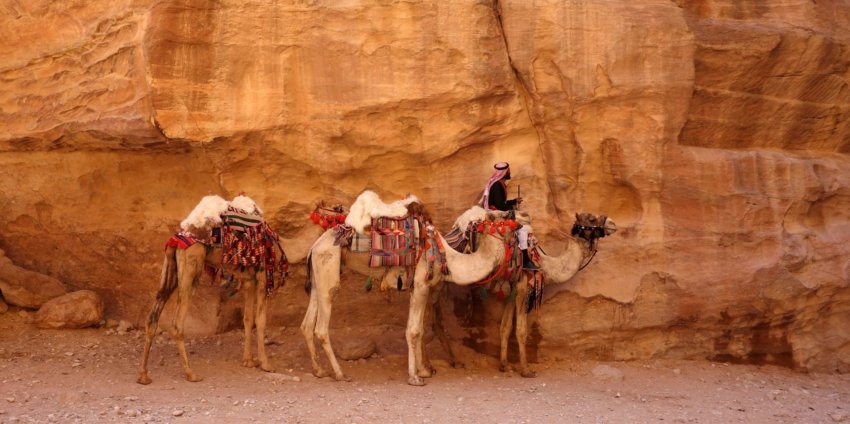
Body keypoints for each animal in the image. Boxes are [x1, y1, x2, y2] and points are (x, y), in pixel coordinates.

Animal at [136, 195, 286, 384]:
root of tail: (176, 239)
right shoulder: (262, 276)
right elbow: (260, 320)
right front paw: (266, 364)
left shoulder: (248, 280)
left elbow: (247, 318)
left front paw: (248, 361)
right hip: (191, 268)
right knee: (177, 324)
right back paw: (191, 373)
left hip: (170, 269)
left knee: (152, 318)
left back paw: (143, 375)